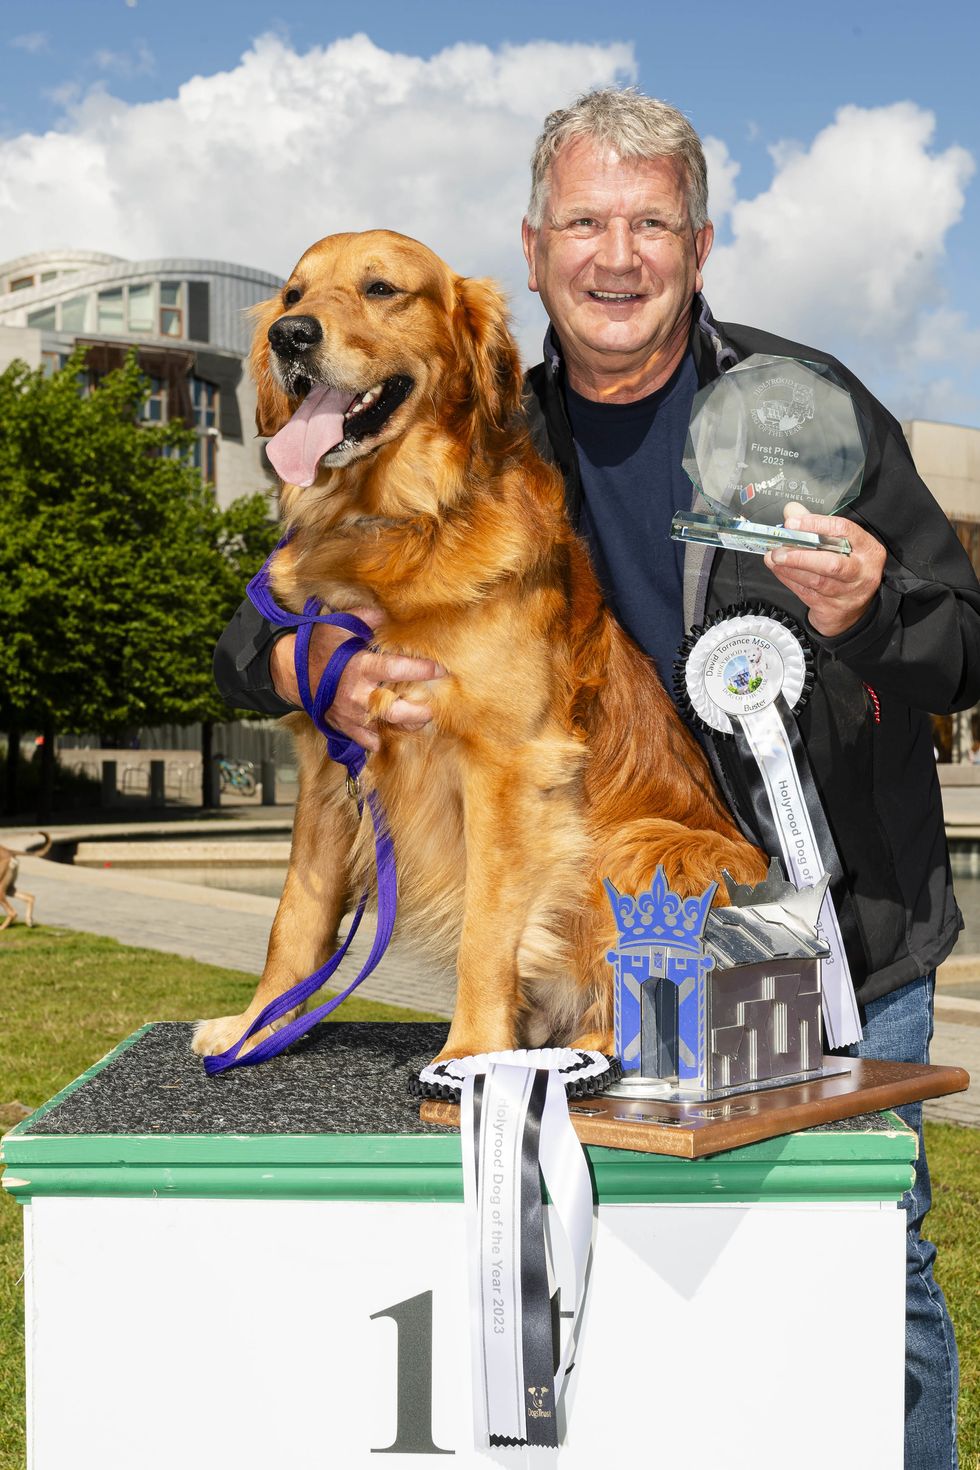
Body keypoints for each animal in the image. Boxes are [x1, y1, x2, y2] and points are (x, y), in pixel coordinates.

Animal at [195, 229, 769, 1064]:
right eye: (294, 294)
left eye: (380, 288)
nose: (290, 337)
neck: (397, 525)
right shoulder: (329, 762)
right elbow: (295, 916)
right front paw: (254, 1028)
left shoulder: (506, 766)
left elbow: (487, 927)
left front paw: (470, 1056)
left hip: (646, 842)